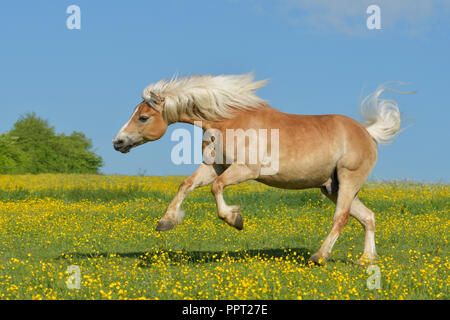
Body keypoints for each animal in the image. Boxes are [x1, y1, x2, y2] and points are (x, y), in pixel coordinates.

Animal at [111, 73, 408, 264]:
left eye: (143, 117)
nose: (118, 142)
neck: (229, 120)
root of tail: (367, 133)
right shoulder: (213, 166)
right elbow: (186, 185)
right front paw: (166, 222)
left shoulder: (245, 170)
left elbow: (217, 189)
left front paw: (235, 219)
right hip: (330, 187)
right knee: (368, 217)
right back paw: (365, 260)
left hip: (348, 181)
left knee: (342, 218)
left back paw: (319, 257)